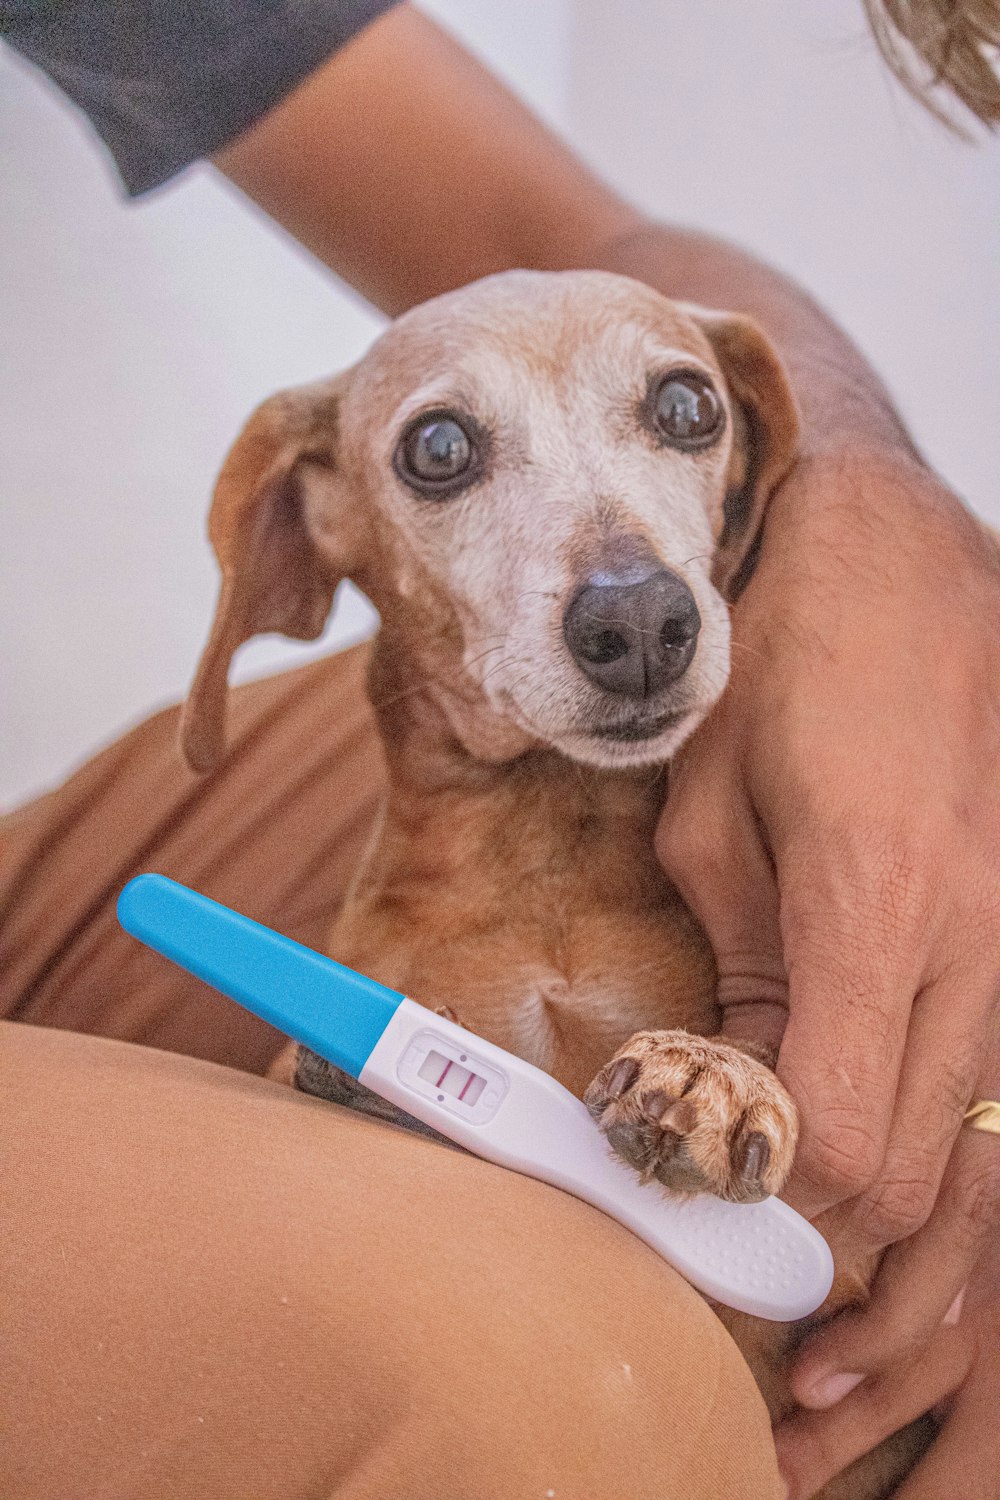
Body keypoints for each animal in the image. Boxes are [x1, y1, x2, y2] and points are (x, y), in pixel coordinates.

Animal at [185, 273, 929, 1500]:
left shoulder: (849, 1285)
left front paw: (715, 1075)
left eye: (687, 406)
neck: (548, 852)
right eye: (438, 446)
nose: (637, 619)